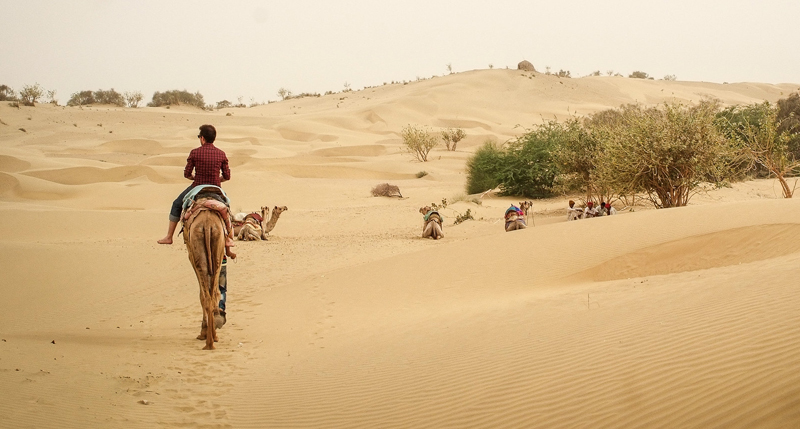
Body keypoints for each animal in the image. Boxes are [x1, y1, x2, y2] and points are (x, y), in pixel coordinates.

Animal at [183, 196, 227, 350]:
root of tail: (207, 224)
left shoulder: (191, 255)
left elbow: (201, 294)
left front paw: (202, 331)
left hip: (197, 253)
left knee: (206, 296)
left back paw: (208, 340)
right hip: (217, 247)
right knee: (213, 295)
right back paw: (213, 338)